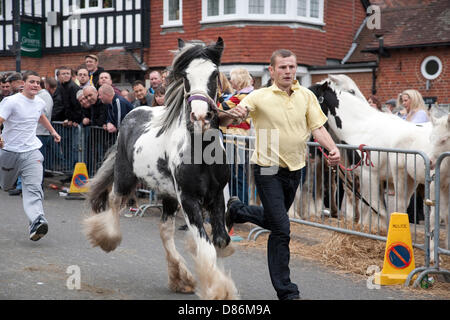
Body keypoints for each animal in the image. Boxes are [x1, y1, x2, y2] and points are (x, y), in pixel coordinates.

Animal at [84, 38, 239, 300]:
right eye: (185, 76)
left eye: (215, 74)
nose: (200, 117)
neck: (201, 152)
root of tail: (133, 112)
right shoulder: (188, 199)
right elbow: (206, 247)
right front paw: (219, 290)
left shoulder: (217, 196)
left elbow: (221, 241)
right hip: (125, 176)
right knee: (114, 200)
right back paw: (107, 238)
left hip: (167, 195)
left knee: (164, 231)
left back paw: (181, 278)